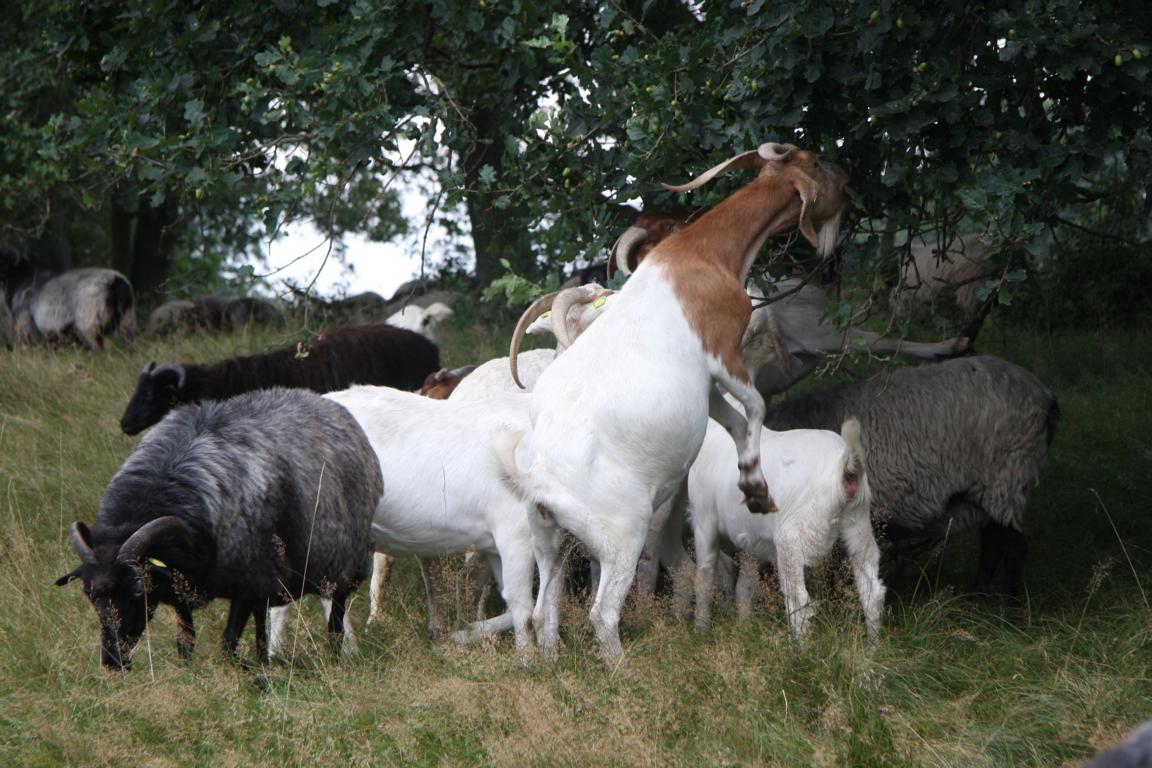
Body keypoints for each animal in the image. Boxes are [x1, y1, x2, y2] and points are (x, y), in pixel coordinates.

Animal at [55, 388, 381, 669]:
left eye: (137, 592)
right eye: (89, 595)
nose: (113, 662)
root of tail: (319, 399)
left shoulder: (247, 580)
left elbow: (227, 643)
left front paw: (254, 679)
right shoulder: (182, 586)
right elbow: (186, 640)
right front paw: (192, 670)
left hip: (339, 562)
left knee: (335, 616)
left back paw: (334, 658)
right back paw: (266, 658)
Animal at [497, 143, 850, 660]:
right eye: (817, 162)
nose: (848, 182)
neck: (700, 254)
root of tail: (540, 484)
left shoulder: (704, 386)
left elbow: (737, 421)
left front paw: (755, 489)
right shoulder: (722, 353)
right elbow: (756, 408)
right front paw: (755, 486)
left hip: (547, 540)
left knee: (544, 611)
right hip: (621, 536)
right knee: (603, 613)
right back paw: (622, 668)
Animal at [687, 414, 884, 640]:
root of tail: (845, 465)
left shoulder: (703, 521)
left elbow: (704, 577)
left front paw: (699, 631)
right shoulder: (751, 539)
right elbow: (745, 585)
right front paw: (746, 629)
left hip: (794, 535)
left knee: (799, 600)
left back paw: (801, 647)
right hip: (858, 521)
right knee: (872, 590)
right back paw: (873, 645)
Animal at [763, 355, 1058, 604]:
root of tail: (1046, 398)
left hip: (1007, 477)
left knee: (1014, 548)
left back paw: (1009, 614)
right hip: (989, 491)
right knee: (993, 542)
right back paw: (978, 599)